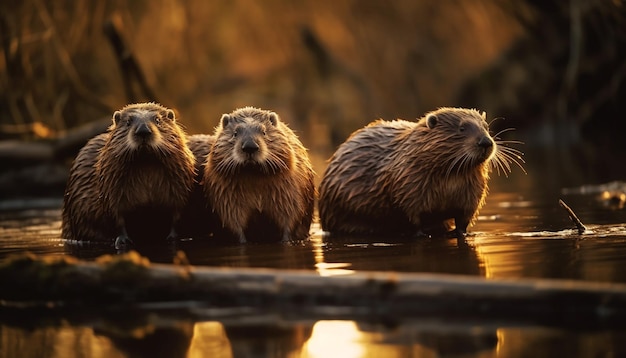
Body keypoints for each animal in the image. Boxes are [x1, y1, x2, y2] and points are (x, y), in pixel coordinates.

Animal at [61, 103, 195, 248]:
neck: (146, 165)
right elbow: (116, 216)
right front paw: (123, 240)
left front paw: (174, 237)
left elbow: (177, 213)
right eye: (128, 122)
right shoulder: (111, 189)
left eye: (158, 120)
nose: (143, 130)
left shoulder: (179, 186)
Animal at [199, 105, 316, 242]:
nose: (250, 146)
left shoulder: (290, 191)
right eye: (235, 133)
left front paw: (286, 240)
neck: (253, 175)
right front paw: (242, 240)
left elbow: (291, 216)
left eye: (264, 131)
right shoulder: (225, 195)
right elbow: (232, 221)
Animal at [316, 106, 520, 238]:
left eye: (486, 127)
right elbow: (410, 213)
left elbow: (464, 217)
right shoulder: (407, 182)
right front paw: (420, 233)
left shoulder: (472, 192)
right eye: (462, 128)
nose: (485, 142)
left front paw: (462, 233)